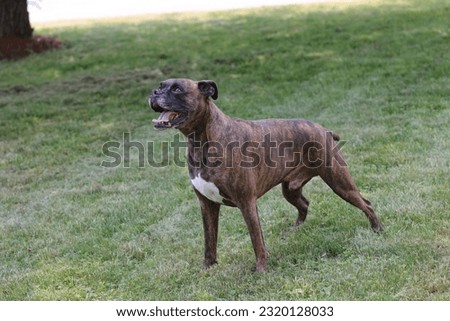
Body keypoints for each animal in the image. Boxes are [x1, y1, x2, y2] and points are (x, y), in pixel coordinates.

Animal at [149, 79, 382, 272]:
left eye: (176, 89)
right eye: (160, 85)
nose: (153, 92)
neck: (202, 139)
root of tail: (323, 129)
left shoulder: (247, 203)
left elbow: (256, 240)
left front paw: (261, 270)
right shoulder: (207, 205)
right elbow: (209, 241)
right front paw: (207, 268)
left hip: (340, 183)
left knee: (366, 204)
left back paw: (377, 230)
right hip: (290, 189)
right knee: (304, 204)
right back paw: (295, 230)